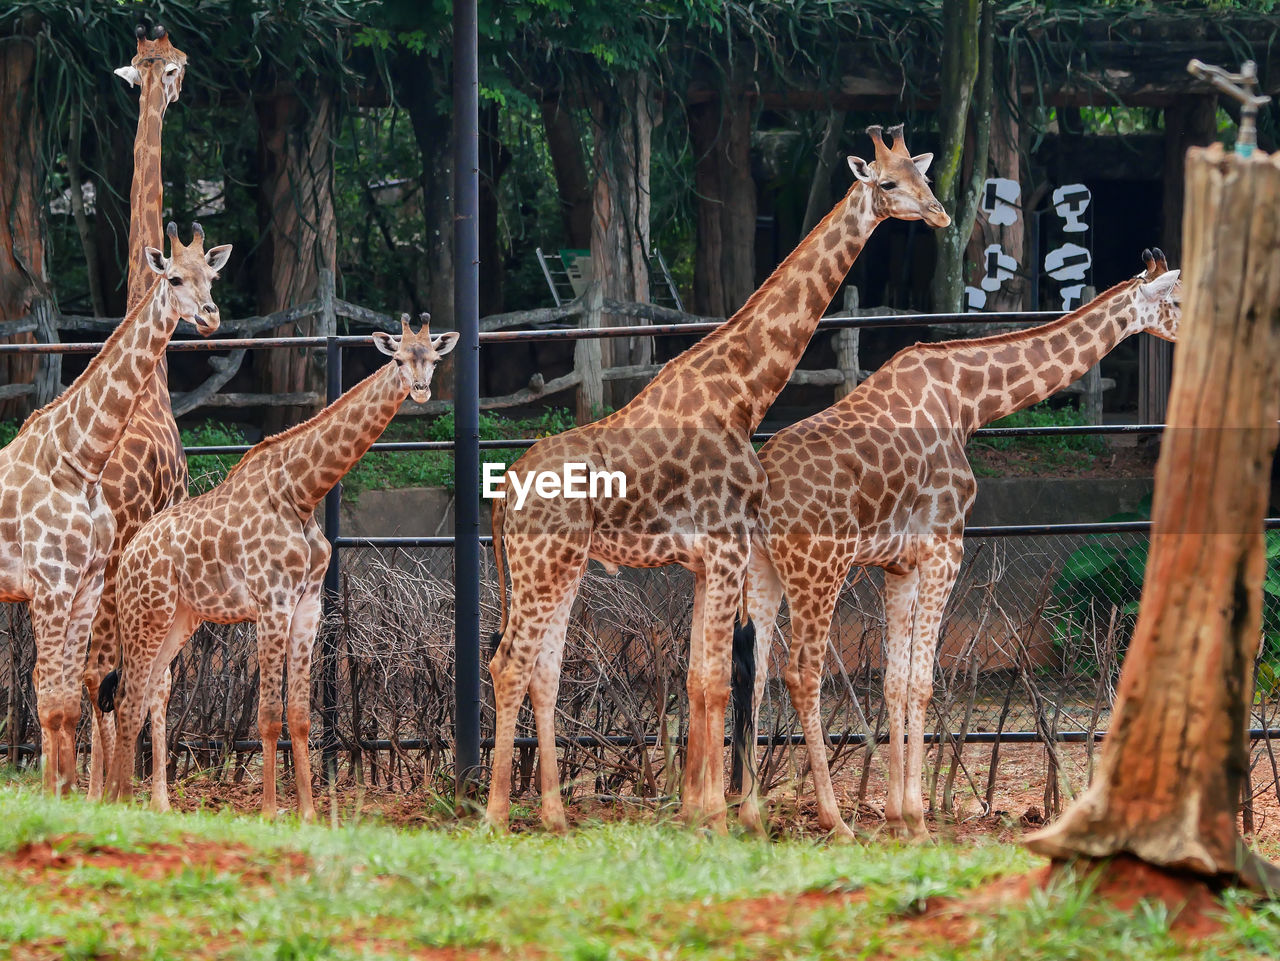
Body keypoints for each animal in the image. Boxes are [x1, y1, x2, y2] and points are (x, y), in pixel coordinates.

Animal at [0, 225, 232, 798]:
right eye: (174, 278)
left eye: (212, 276)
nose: (210, 317)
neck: (79, 460)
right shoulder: (51, 584)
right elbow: (53, 695)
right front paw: (63, 796)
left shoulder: (83, 586)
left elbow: (64, 696)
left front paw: (69, 797)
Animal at [104, 319, 458, 813]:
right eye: (400, 358)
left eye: (434, 359)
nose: (422, 390)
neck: (301, 493)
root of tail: (130, 553)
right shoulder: (272, 603)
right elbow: (269, 715)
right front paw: (271, 810)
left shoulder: (307, 606)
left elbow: (301, 716)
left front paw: (307, 812)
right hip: (146, 612)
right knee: (127, 695)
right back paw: (117, 801)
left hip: (181, 616)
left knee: (153, 688)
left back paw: (154, 804)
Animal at [488, 126, 952, 834]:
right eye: (888, 182)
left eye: (922, 175)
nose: (939, 214)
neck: (742, 394)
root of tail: (505, 490)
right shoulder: (726, 547)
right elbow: (713, 680)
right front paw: (714, 816)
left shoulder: (709, 559)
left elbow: (699, 678)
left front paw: (698, 812)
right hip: (544, 566)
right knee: (509, 664)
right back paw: (492, 816)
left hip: (557, 567)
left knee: (541, 667)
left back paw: (554, 817)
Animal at [737, 252, 1182, 839]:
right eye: (1176, 298)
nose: (1192, 331)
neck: (968, 399)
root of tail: (758, 496)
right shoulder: (944, 546)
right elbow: (923, 682)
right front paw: (918, 821)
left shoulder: (899, 564)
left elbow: (896, 681)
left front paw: (898, 819)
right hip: (819, 567)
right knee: (801, 672)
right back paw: (835, 821)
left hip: (763, 568)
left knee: (756, 672)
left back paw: (750, 816)